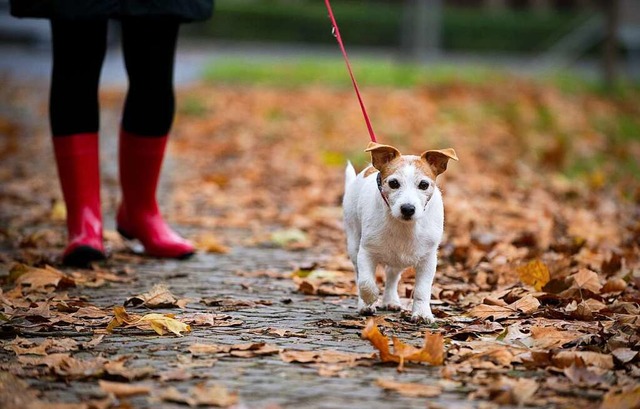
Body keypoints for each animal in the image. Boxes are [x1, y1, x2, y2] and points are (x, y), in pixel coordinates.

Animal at [342, 142, 458, 324]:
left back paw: (390, 301)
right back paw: (365, 305)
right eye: (394, 183)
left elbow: (422, 290)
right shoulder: (366, 252)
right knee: (359, 274)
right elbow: (366, 281)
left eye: (424, 185)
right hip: (353, 242)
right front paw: (370, 298)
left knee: (392, 277)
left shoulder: (428, 260)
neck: (404, 226)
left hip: (397, 260)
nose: (408, 208)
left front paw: (422, 313)